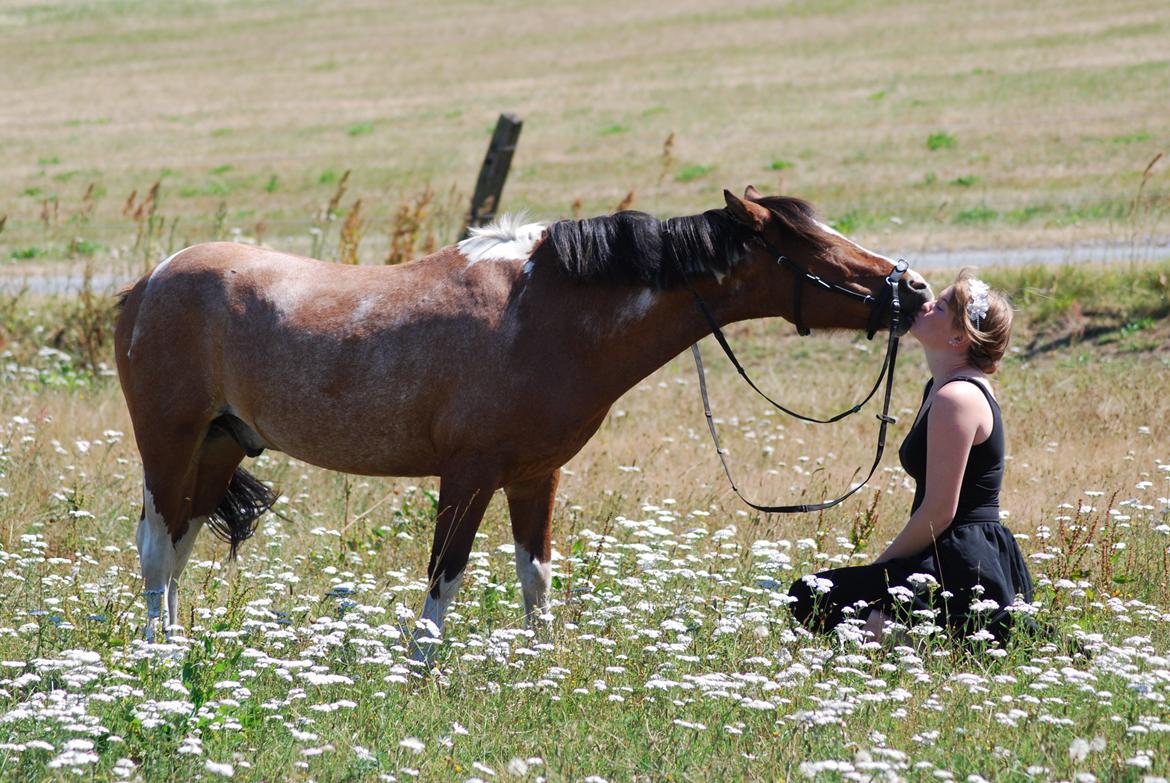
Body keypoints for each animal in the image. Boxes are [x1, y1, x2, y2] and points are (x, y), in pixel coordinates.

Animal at [111, 187, 931, 641]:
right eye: (813, 247)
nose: (916, 289)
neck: (543, 314)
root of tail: (147, 282)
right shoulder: (468, 475)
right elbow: (444, 577)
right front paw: (420, 674)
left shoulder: (537, 477)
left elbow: (535, 579)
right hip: (169, 444)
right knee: (155, 550)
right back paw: (158, 660)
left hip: (219, 447)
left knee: (179, 547)